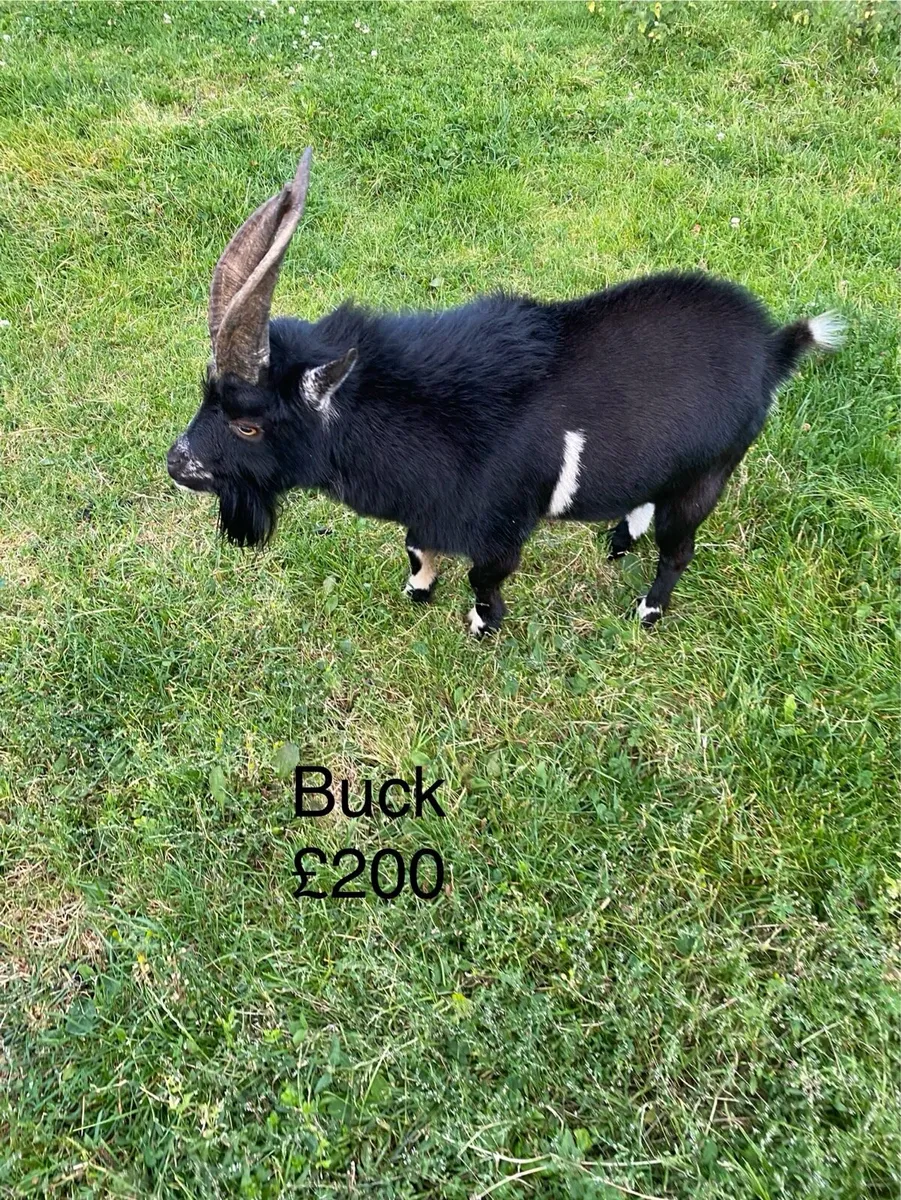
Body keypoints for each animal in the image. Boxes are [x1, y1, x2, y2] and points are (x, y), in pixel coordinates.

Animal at [167, 149, 844, 636]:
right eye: (206, 396)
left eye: (249, 423)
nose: (177, 463)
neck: (428, 416)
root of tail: (774, 348)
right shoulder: (429, 509)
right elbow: (416, 548)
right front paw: (418, 591)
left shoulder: (502, 527)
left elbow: (486, 578)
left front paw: (481, 625)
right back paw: (618, 541)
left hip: (707, 475)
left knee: (679, 550)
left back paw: (648, 611)